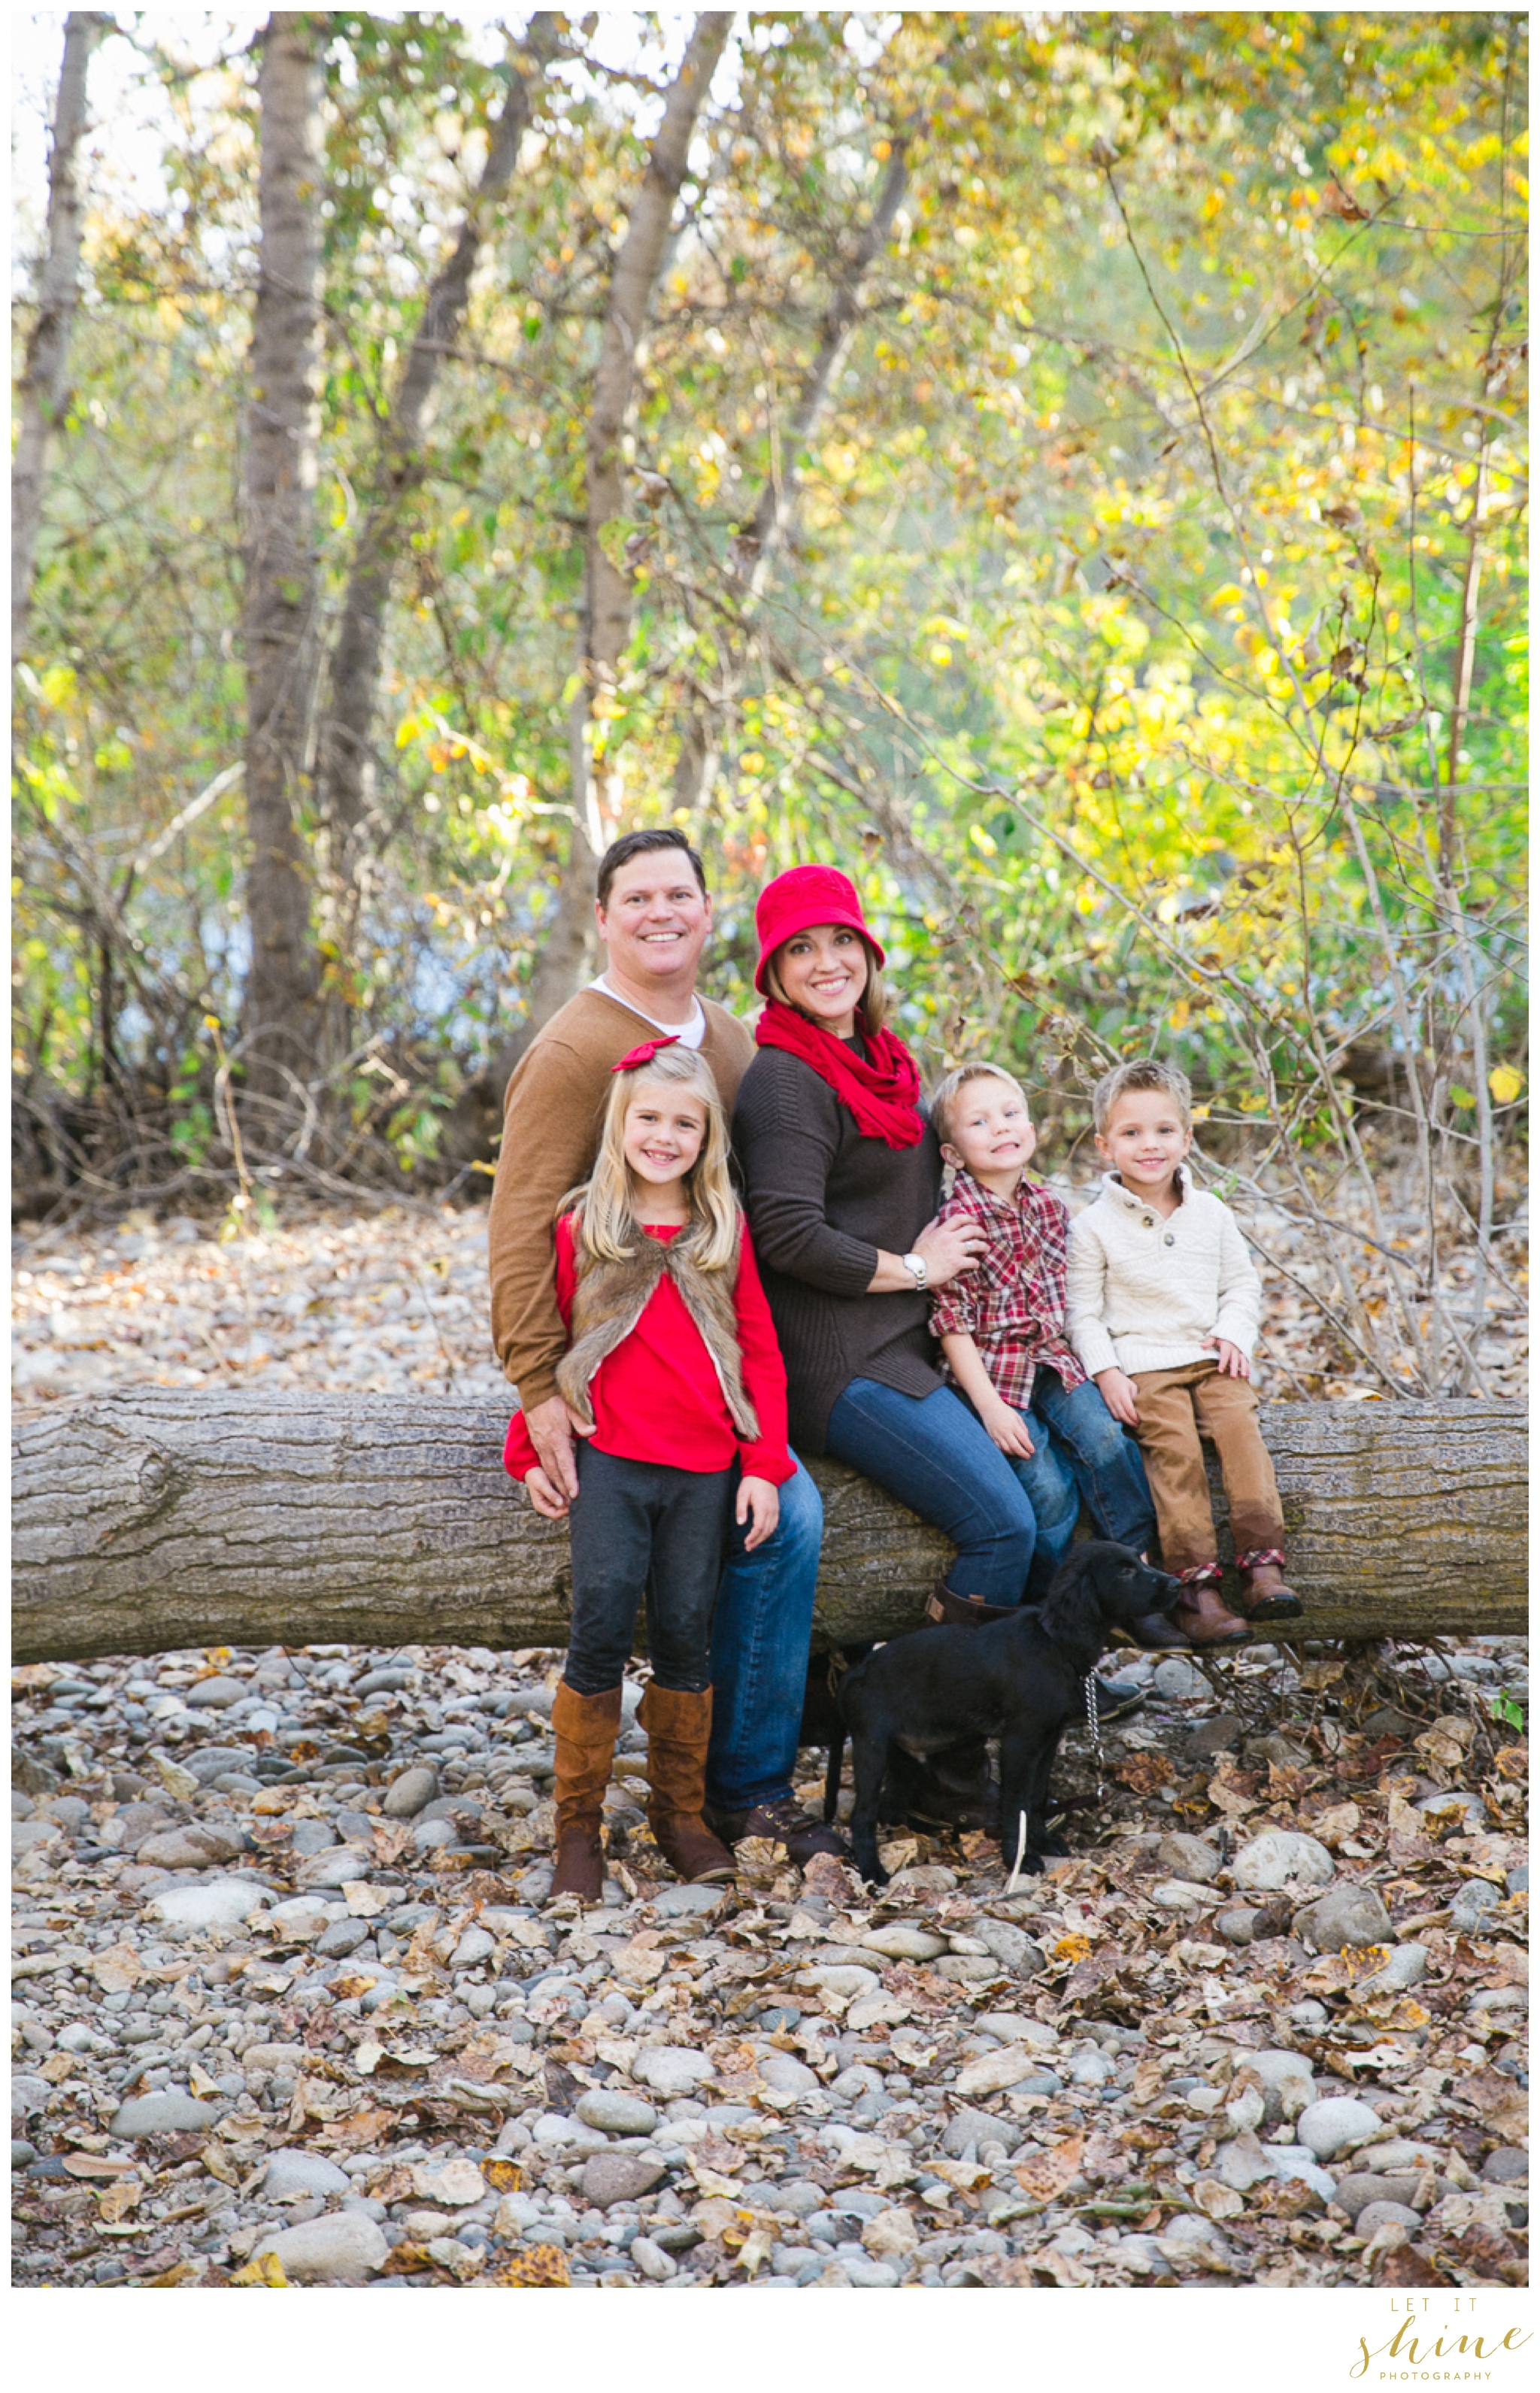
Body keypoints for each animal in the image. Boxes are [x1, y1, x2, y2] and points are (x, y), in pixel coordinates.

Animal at [841, 1550, 1181, 1885]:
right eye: (1125, 1571)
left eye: (1138, 1561)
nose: (1177, 1584)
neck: (1053, 1642)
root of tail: (858, 1671)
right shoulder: (1020, 1741)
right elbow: (1016, 1804)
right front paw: (1020, 1857)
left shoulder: (1048, 1739)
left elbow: (1036, 1798)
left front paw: (1042, 1840)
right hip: (872, 1749)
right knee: (863, 1814)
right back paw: (871, 1869)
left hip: (904, 1757)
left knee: (889, 1804)